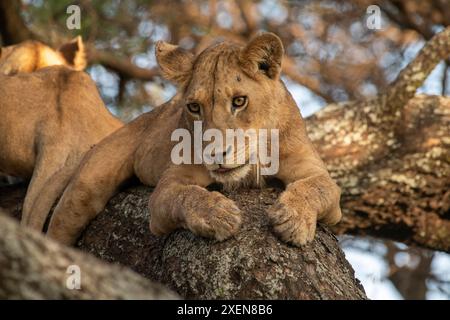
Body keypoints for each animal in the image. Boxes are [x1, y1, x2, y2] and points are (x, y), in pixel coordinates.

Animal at [47, 32, 342, 246]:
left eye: (239, 101)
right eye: (194, 107)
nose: (214, 154)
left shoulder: (312, 170)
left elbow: (317, 187)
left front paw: (292, 219)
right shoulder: (168, 188)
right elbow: (185, 195)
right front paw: (219, 214)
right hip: (84, 189)